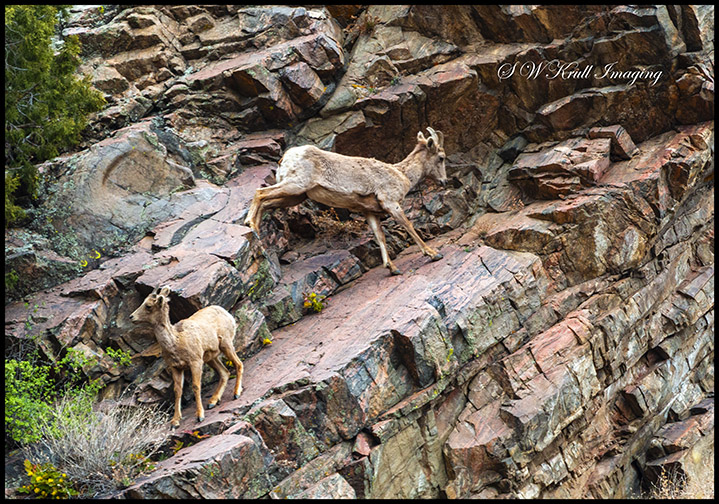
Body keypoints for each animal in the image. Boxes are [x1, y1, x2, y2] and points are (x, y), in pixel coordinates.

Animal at [130, 286, 243, 428]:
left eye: (148, 305)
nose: (131, 317)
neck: (176, 342)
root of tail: (227, 315)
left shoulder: (195, 362)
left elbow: (196, 386)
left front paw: (200, 416)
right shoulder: (176, 367)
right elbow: (177, 390)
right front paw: (175, 421)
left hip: (226, 344)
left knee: (238, 364)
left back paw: (236, 394)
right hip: (211, 357)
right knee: (225, 372)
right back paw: (212, 402)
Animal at [245, 127, 447, 275]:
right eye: (441, 157)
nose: (444, 181)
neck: (401, 174)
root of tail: (285, 158)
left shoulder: (370, 212)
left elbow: (380, 236)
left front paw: (392, 268)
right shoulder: (391, 204)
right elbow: (408, 226)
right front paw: (433, 254)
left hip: (294, 196)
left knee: (266, 202)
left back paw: (256, 232)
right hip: (294, 185)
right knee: (260, 193)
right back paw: (251, 226)